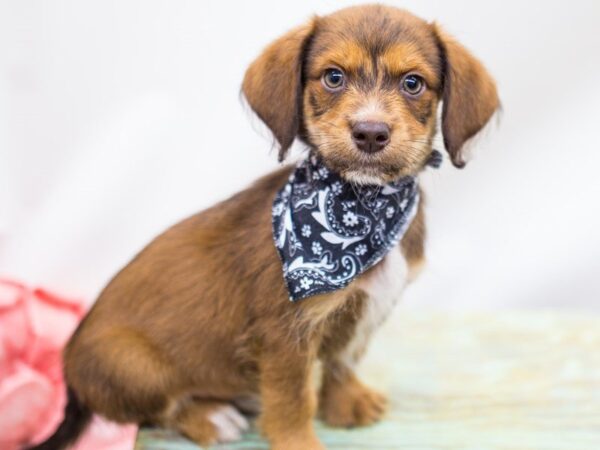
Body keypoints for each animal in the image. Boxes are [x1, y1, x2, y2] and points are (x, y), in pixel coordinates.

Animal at [32, 4, 500, 450]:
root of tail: (70, 377)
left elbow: (344, 359)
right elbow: (292, 400)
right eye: (333, 77)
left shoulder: (368, 308)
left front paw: (346, 404)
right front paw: (300, 444)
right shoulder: (286, 332)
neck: (367, 202)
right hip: (132, 362)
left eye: (413, 83)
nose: (370, 133)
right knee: (155, 409)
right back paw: (210, 417)